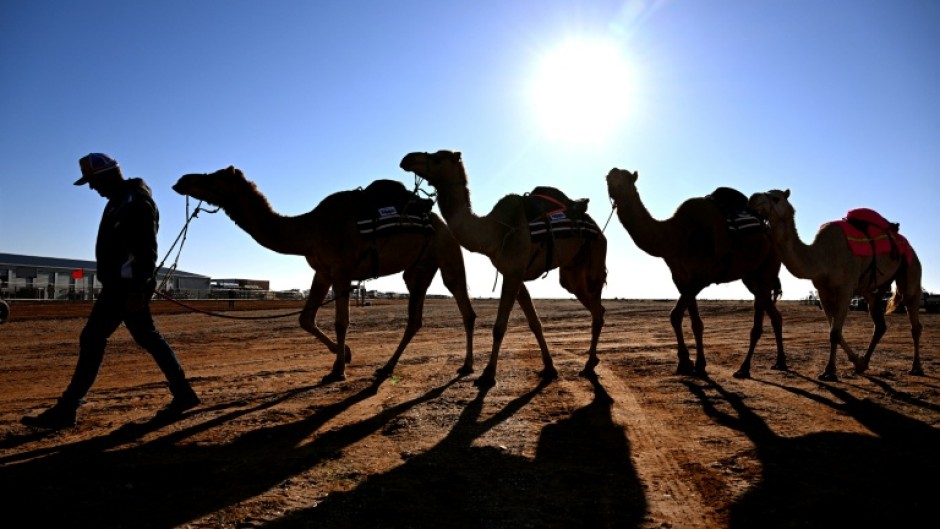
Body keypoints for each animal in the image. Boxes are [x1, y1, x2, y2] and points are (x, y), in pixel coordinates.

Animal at [172, 166, 476, 382]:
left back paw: (467, 366)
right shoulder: (323, 272)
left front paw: (338, 369)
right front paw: (346, 355)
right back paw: (386, 368)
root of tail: (439, 220)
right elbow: (305, 319)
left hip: (447, 251)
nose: (182, 180)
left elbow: (341, 322)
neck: (309, 229)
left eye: (215, 177)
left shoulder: (342, 271)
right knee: (415, 319)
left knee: (464, 305)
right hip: (418, 269)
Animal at [400, 150, 607, 388]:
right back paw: (591, 361)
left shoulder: (513, 271)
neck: (495, 231)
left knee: (597, 309)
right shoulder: (515, 274)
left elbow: (499, 327)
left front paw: (488, 375)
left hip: (595, 258)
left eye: (438, 157)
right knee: (595, 306)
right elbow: (534, 322)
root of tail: (596, 226)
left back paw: (589, 364)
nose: (407, 159)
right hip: (571, 273)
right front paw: (549, 368)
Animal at [606, 168, 785, 379]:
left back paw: (744, 368)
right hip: (750, 277)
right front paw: (697, 364)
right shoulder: (681, 277)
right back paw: (780, 362)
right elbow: (694, 322)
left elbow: (675, 315)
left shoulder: (701, 277)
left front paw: (686, 363)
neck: (678, 233)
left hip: (768, 266)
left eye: (625, 180)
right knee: (773, 313)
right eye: (608, 178)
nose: (613, 183)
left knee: (759, 322)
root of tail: (768, 229)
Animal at [748, 189, 923, 380]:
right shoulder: (823, 291)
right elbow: (833, 330)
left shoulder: (845, 289)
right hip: (872, 290)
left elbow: (835, 332)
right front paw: (856, 362)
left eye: (775, 198)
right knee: (879, 323)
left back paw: (916, 367)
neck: (822, 257)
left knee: (914, 318)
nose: (753, 198)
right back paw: (865, 362)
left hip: (911, 269)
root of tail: (908, 246)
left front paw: (830, 370)